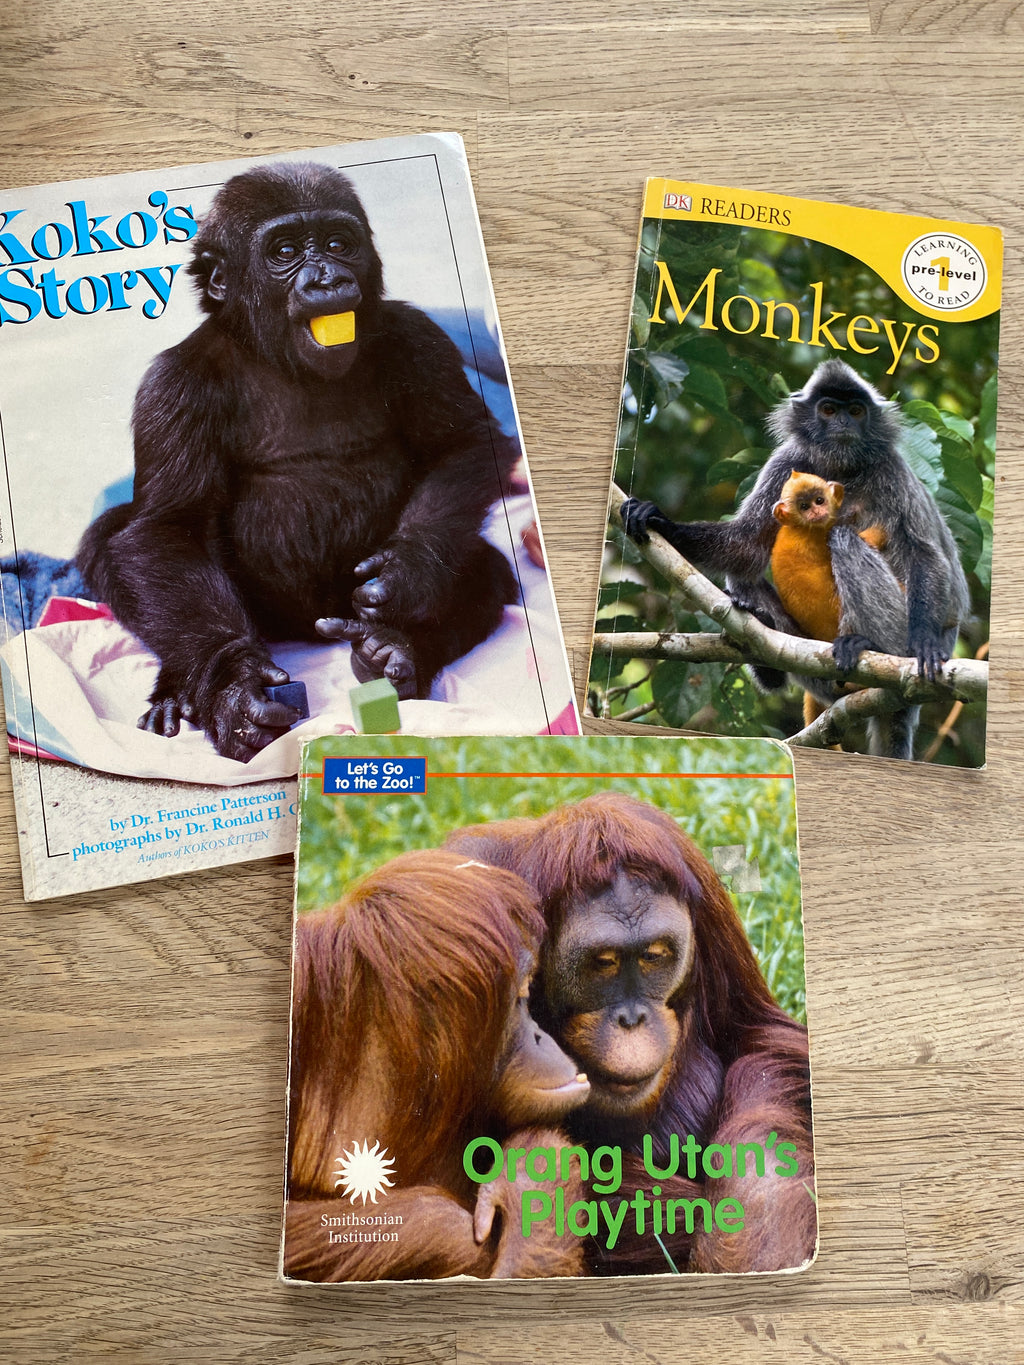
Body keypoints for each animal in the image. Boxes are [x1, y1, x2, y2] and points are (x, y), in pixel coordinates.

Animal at [621, 359, 969, 759]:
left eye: (856, 411)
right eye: (829, 410)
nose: (843, 424)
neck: (840, 468)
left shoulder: (891, 469)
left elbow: (924, 553)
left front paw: (925, 643)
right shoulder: (786, 462)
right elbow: (747, 544)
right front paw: (660, 521)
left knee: (845, 539)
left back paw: (867, 645)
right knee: (743, 574)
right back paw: (761, 643)